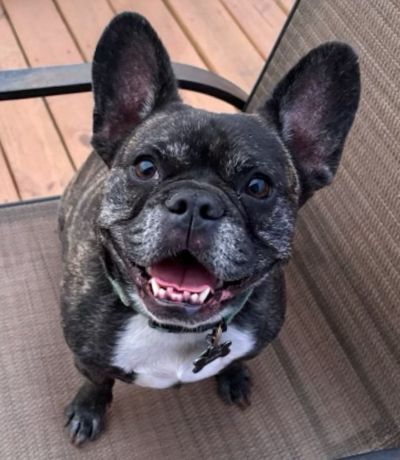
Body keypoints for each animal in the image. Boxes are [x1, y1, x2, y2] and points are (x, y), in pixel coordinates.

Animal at [59, 12, 362, 446]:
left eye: (258, 187)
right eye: (145, 167)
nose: (196, 203)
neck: (173, 331)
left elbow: (235, 360)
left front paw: (233, 377)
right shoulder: (86, 357)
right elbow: (98, 382)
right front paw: (88, 410)